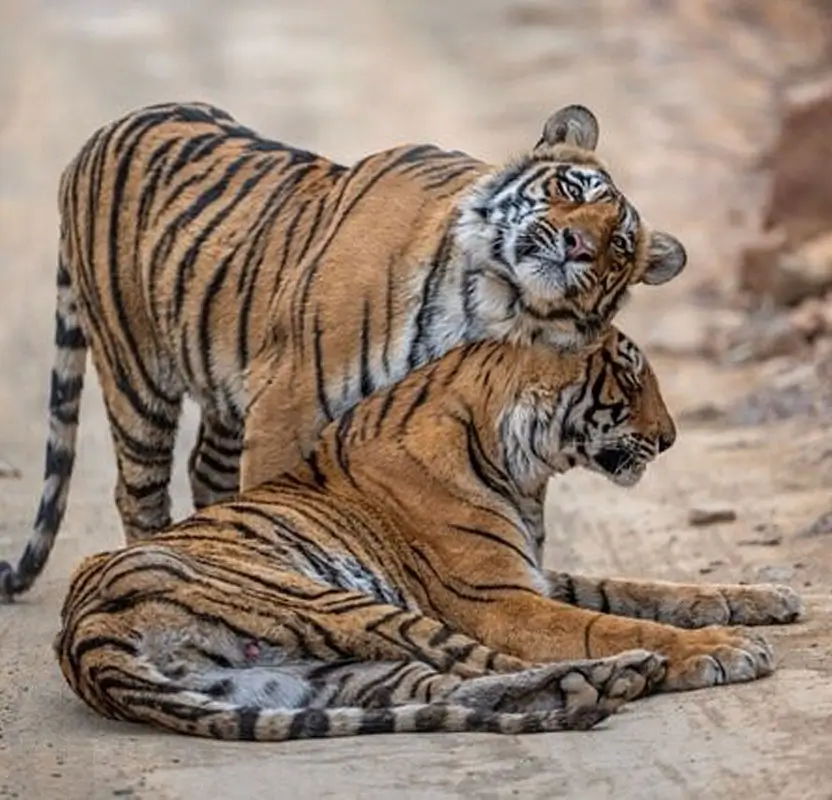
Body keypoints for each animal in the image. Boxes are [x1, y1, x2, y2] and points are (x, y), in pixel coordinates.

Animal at [0, 101, 687, 601]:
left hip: (226, 392)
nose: (576, 244)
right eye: (572, 188)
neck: (496, 301)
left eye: (619, 245)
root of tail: (98, 136)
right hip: (137, 376)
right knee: (138, 490)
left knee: (205, 471)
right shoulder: (289, 397)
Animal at [55, 327, 802, 741]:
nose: (670, 438)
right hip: (339, 604)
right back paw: (625, 675)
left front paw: (766, 596)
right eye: (629, 374)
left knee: (453, 686)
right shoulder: (497, 598)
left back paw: (593, 688)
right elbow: (613, 622)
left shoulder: (531, 572)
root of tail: (83, 641)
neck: (524, 466)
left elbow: (642, 589)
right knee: (487, 664)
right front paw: (723, 646)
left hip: (317, 678)